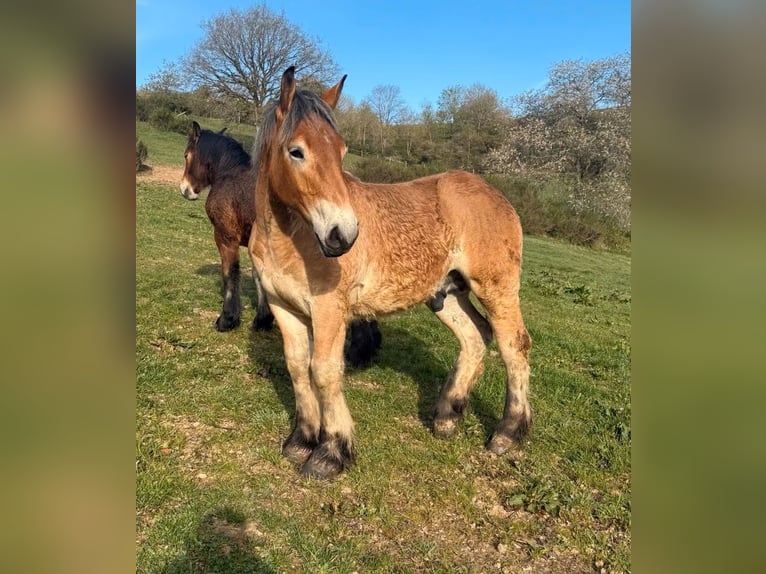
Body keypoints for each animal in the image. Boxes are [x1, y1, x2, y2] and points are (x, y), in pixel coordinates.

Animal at [180, 121, 382, 365]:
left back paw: (358, 351)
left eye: (186, 155)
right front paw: (262, 319)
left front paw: (227, 319)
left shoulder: (225, 237)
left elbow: (230, 274)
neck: (230, 175)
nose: (185, 189)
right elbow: (258, 277)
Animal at [248, 67, 532, 480]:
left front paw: (330, 453)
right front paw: (300, 441)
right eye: (296, 151)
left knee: (514, 346)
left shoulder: (329, 310)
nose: (343, 234)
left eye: (341, 150)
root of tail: (497, 196)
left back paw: (508, 433)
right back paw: (447, 417)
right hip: (445, 293)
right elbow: (298, 368)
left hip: (497, 288)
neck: (291, 237)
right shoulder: (282, 306)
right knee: (476, 336)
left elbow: (325, 372)